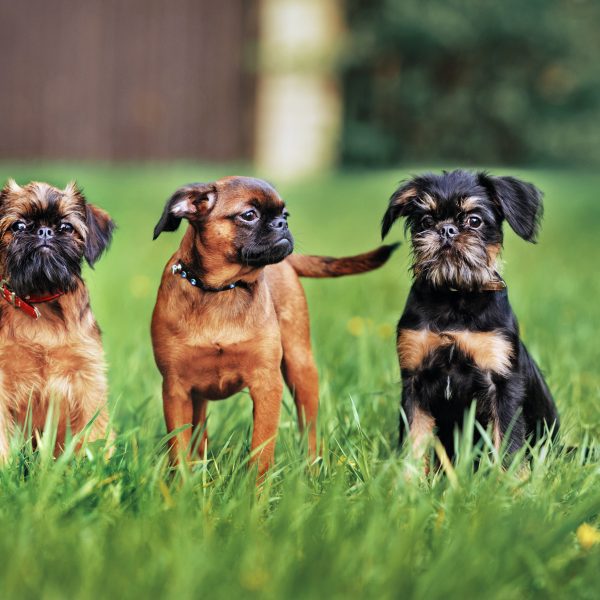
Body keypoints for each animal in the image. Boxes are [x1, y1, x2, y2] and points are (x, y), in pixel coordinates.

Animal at [0, 179, 115, 460]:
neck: (40, 301)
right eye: (18, 226)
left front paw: (95, 464)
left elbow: (93, 430)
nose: (44, 232)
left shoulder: (88, 380)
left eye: (66, 227)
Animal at [151, 176, 398, 476]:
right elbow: (179, 449)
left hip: (301, 368)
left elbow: (261, 449)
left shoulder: (267, 384)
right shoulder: (175, 391)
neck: (220, 290)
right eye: (249, 215)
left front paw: (255, 488)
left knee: (309, 430)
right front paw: (182, 485)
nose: (283, 224)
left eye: (285, 214)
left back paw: (312, 470)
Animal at [382, 171, 560, 462]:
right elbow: (414, 443)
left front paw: (507, 476)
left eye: (474, 220)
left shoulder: (502, 384)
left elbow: (508, 446)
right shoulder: (414, 383)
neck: (454, 293)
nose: (446, 229)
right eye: (426, 221)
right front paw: (408, 476)